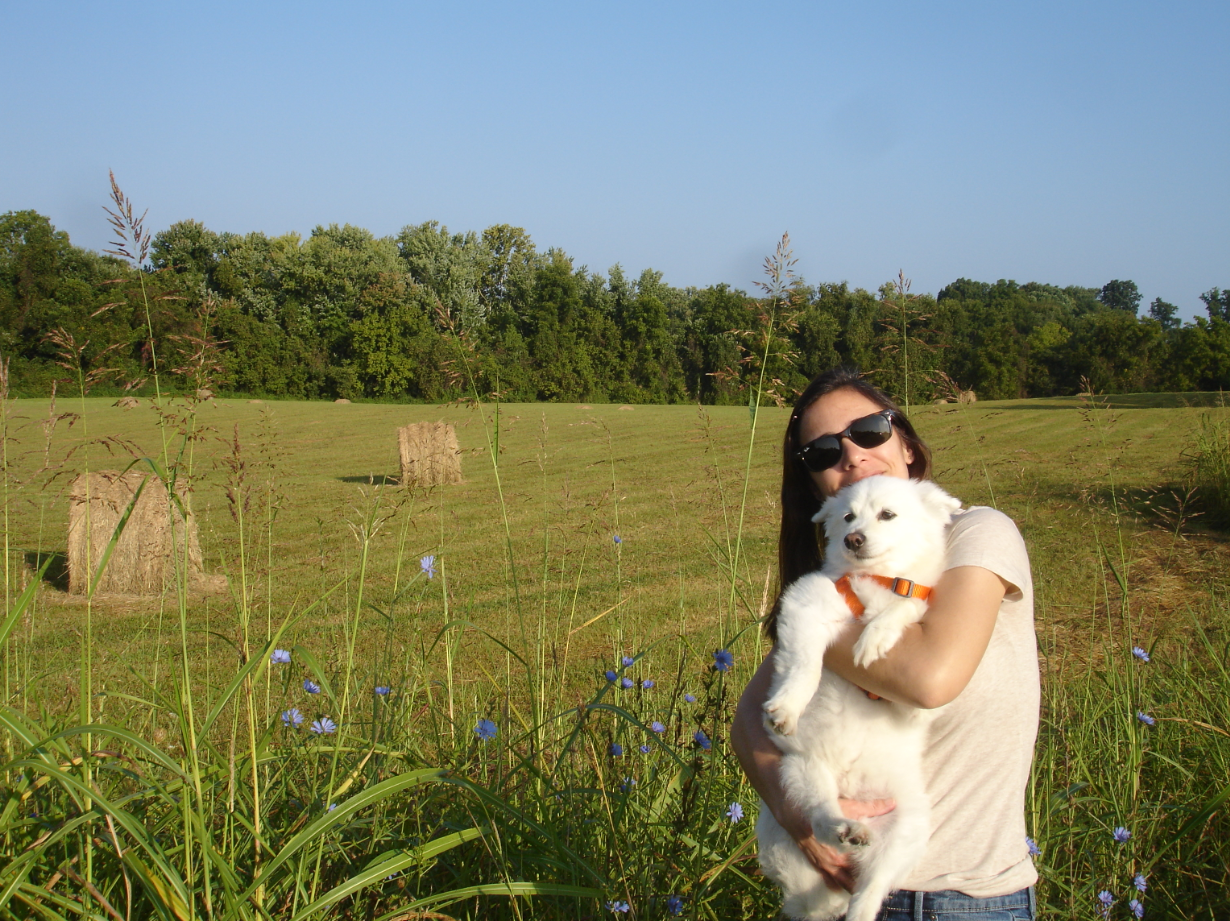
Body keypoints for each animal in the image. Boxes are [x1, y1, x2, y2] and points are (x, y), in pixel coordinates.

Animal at [752, 474, 964, 919]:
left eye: (888, 514)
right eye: (847, 517)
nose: (853, 539)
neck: (878, 579)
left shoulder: (919, 704)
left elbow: (907, 606)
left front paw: (875, 636)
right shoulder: (805, 608)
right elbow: (806, 665)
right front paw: (788, 706)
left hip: (908, 830)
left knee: (873, 887)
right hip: (800, 774)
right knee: (819, 820)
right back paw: (844, 827)